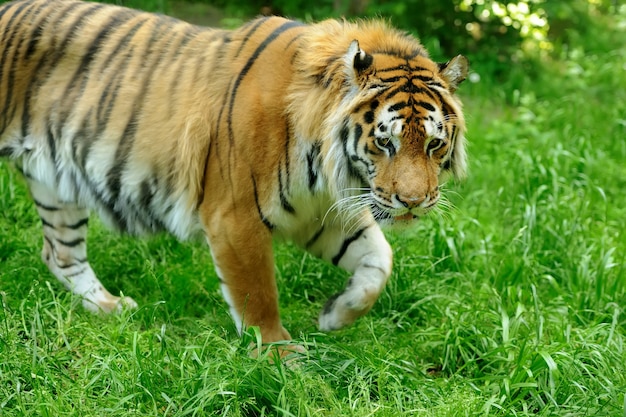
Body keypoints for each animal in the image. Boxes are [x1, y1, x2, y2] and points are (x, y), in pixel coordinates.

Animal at [0, 0, 468, 352]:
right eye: (385, 142)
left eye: (434, 144)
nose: (414, 202)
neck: (325, 164)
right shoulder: (235, 216)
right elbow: (257, 294)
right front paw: (280, 356)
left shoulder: (321, 214)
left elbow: (378, 262)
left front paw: (335, 316)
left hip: (56, 186)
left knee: (61, 254)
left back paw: (108, 308)